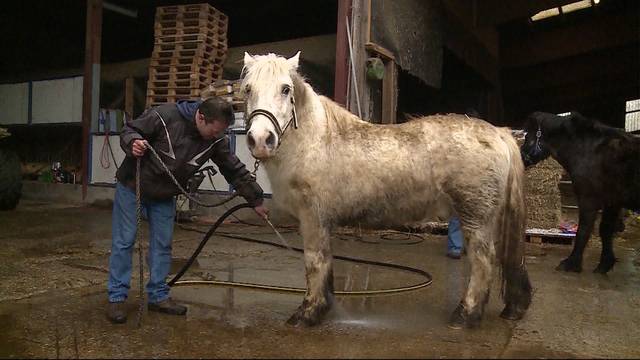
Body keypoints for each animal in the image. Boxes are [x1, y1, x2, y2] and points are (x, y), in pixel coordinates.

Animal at [240, 52, 528, 328]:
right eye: (248, 89)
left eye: (285, 89)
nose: (261, 140)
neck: (317, 141)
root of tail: (499, 133)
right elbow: (326, 264)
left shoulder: (313, 218)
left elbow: (315, 262)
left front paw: (308, 313)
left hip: (476, 218)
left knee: (482, 261)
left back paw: (466, 315)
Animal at [524, 112, 636, 272]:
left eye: (527, 137)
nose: (521, 157)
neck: (587, 149)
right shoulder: (612, 201)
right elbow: (605, 230)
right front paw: (604, 264)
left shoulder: (589, 198)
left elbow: (583, 230)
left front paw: (571, 263)